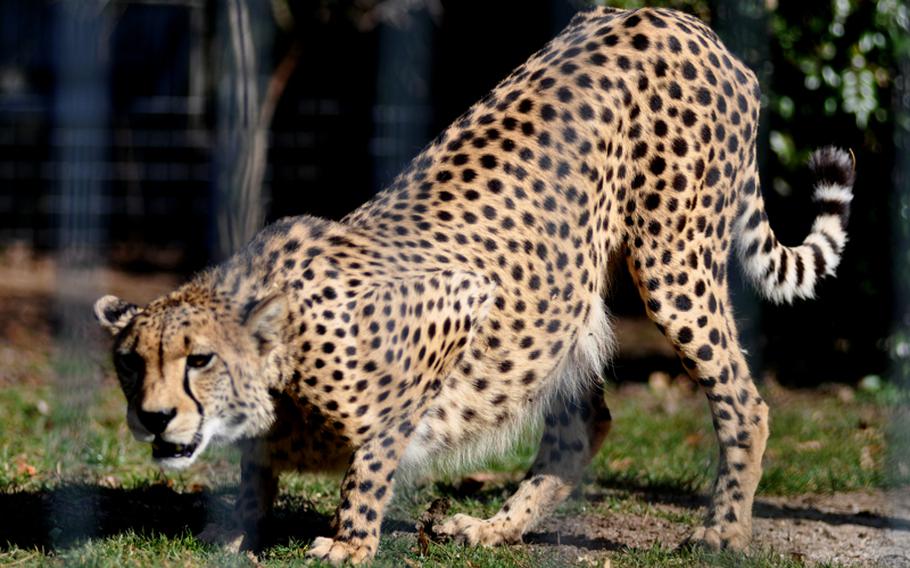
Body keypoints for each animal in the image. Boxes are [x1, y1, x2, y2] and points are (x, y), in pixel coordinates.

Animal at [94, 6, 856, 564]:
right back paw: (492, 530)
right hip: (571, 299)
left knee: (743, 402)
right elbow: (257, 475)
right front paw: (233, 530)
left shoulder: (457, 305)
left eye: (200, 360)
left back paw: (721, 532)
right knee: (585, 424)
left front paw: (348, 542)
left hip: (672, 267)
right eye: (129, 364)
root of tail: (678, 19)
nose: (153, 417)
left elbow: (374, 454)